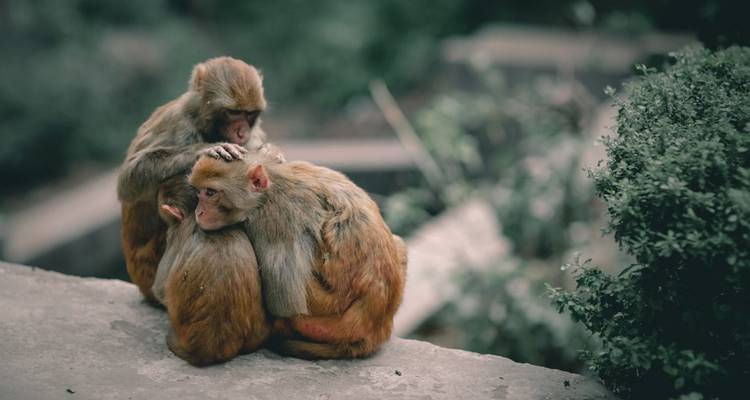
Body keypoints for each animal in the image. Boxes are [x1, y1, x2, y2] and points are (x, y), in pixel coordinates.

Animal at [117, 56, 273, 304]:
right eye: (232, 112)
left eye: (248, 113)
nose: (241, 133)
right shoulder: (177, 124)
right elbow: (129, 178)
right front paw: (206, 149)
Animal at [188, 153, 408, 359]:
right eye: (199, 192)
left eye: (210, 192)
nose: (199, 212)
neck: (271, 186)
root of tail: (375, 328)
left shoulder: (275, 220)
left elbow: (286, 303)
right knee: (399, 244)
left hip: (326, 315)